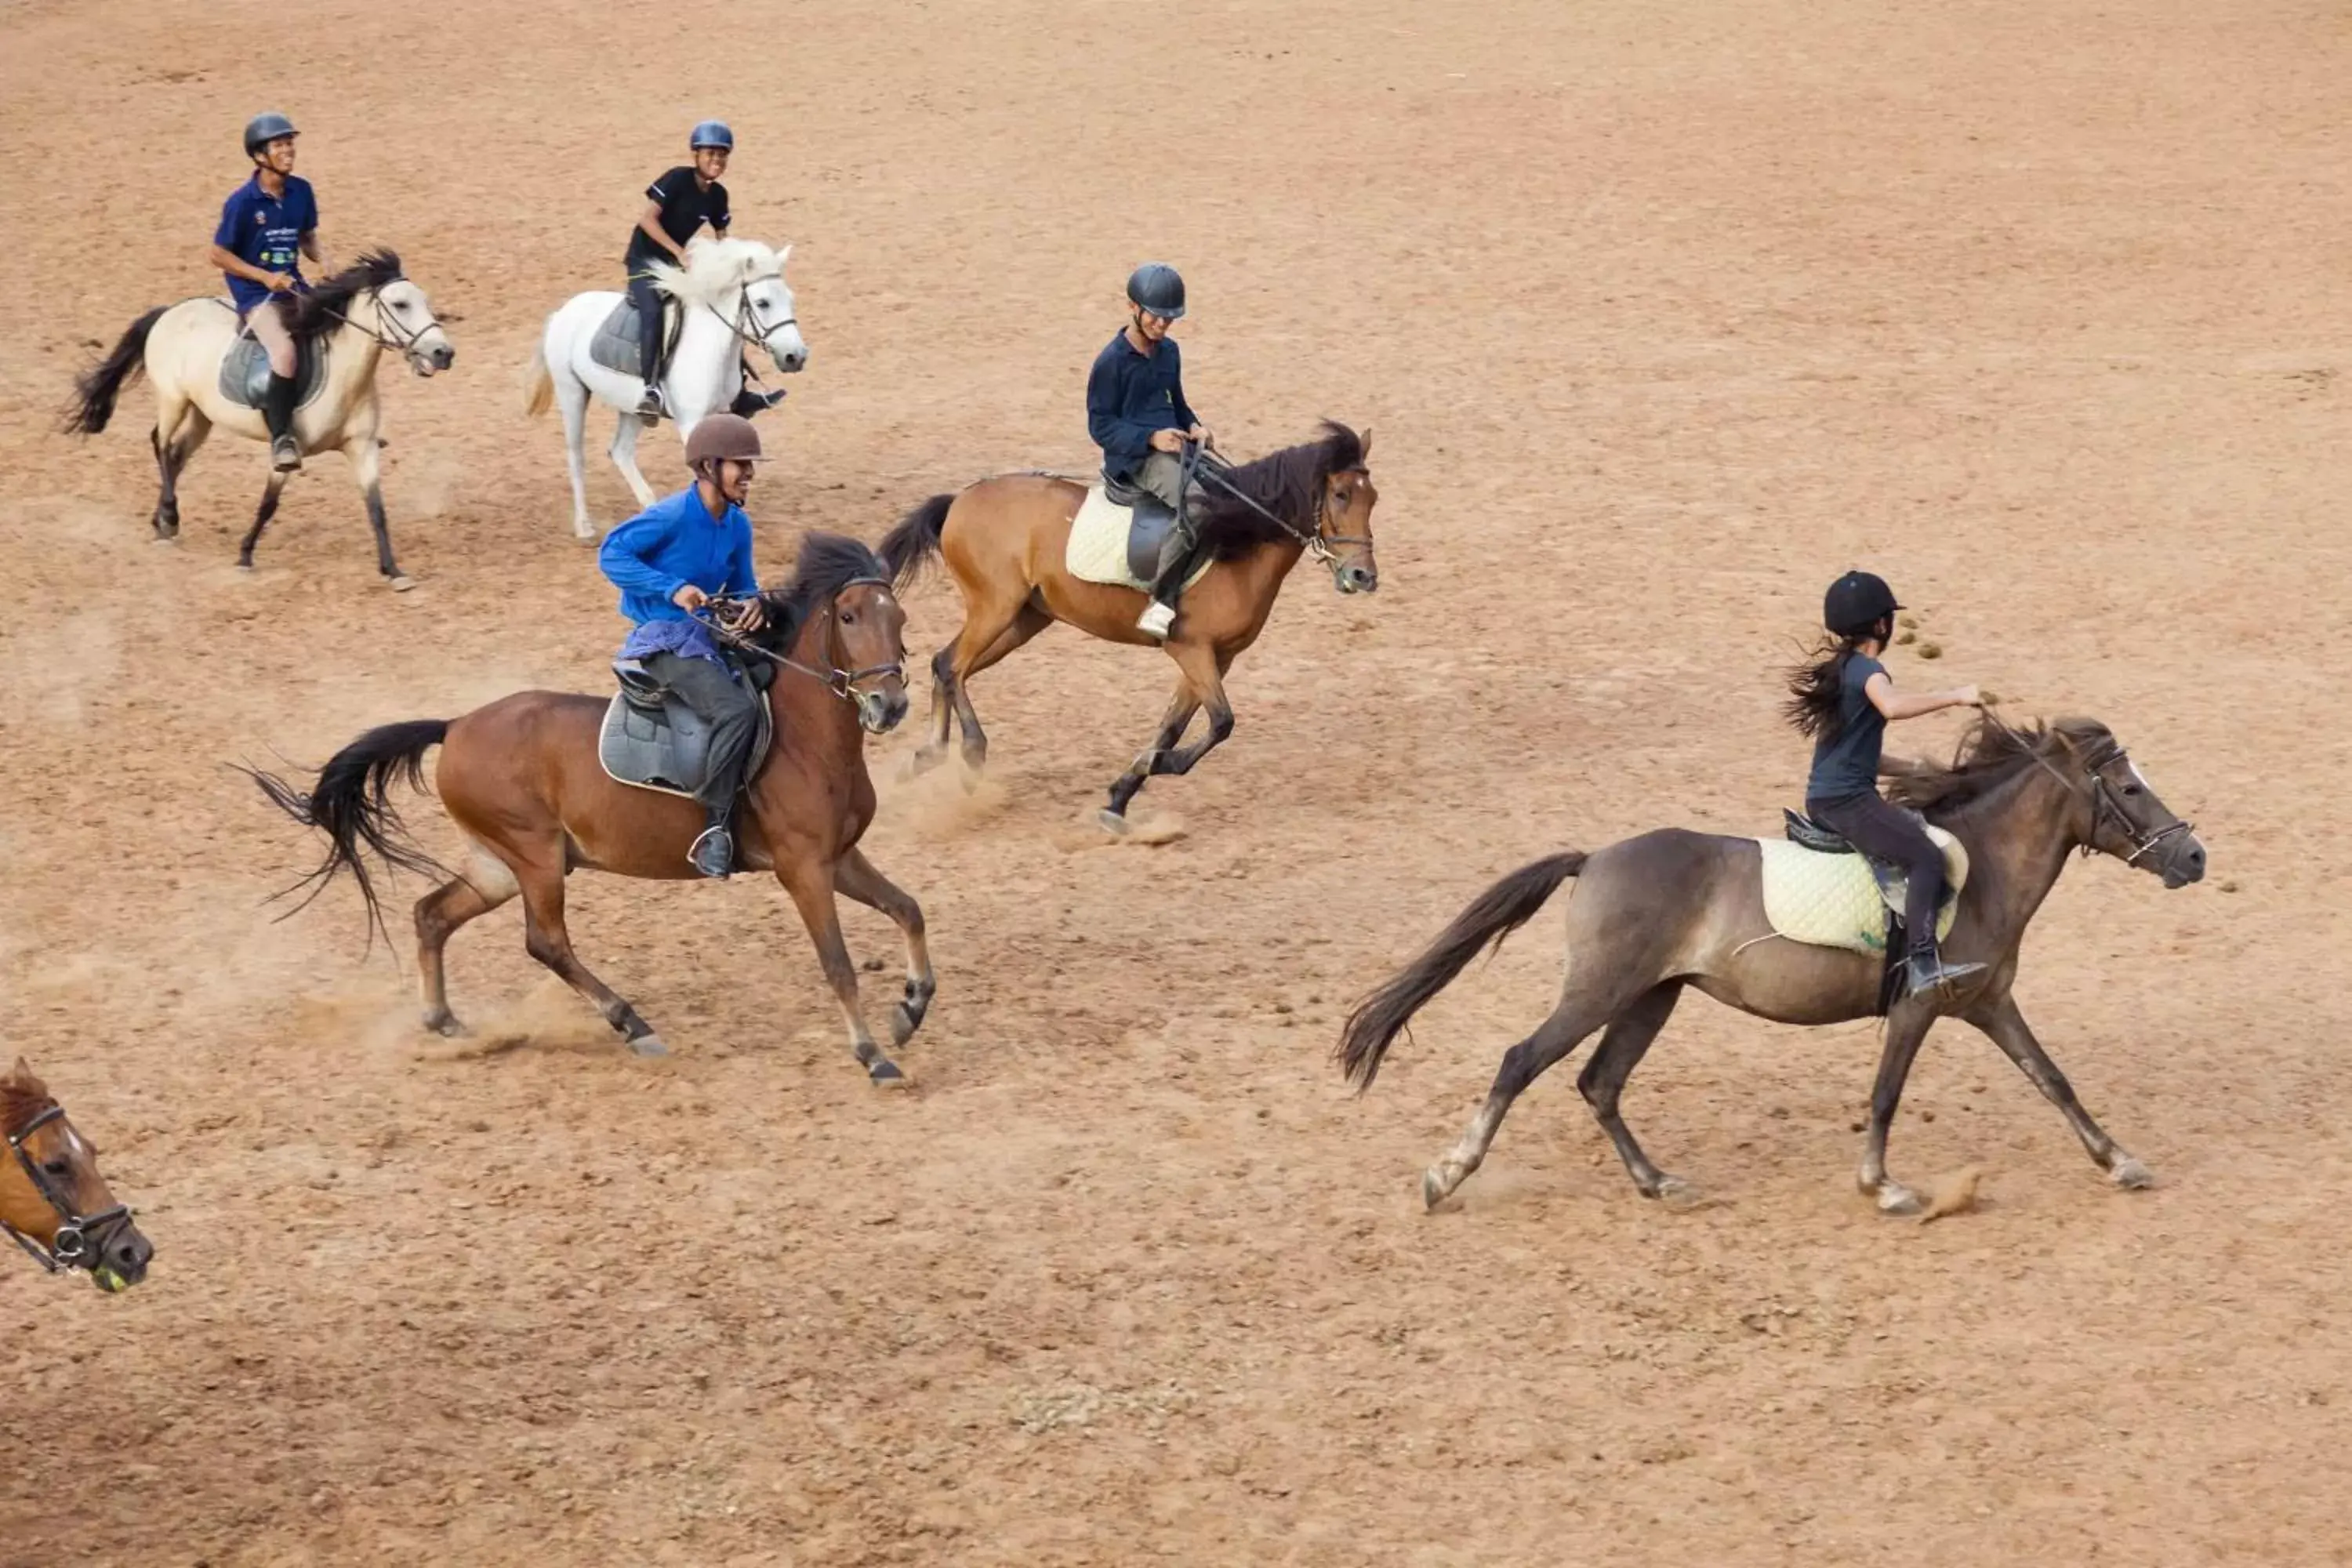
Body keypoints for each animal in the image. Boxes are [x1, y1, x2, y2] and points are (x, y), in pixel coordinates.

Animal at [63, 248, 454, 592]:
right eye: (400, 304)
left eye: (425, 301)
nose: (443, 353)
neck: (345, 376)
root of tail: (169, 311)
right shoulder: (286, 452)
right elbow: (268, 505)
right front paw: (245, 556)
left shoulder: (362, 447)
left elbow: (377, 509)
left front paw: (394, 571)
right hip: (173, 400)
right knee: (160, 443)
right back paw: (169, 518)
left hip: (203, 414)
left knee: (176, 455)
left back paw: (161, 521)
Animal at [245, 533, 927, 1086]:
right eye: (847, 616)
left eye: (900, 617)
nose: (889, 706)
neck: (805, 739)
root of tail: (456, 726)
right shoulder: (803, 869)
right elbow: (838, 964)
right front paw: (873, 1054)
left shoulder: (839, 858)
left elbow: (907, 909)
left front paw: (913, 1006)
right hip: (537, 858)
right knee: (546, 943)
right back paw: (632, 1024)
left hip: (498, 865)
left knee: (432, 915)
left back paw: (443, 1019)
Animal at [524, 236, 809, 543]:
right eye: (763, 303)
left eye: (790, 299)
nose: (796, 357)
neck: (710, 344)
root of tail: (563, 312)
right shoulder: (691, 422)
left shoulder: (722, 416)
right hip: (572, 393)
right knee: (577, 456)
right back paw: (584, 526)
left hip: (633, 409)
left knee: (621, 452)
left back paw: (651, 507)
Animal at [875, 416, 1374, 832]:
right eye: (1340, 495)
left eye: (1373, 499)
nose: (1363, 577)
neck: (1236, 541)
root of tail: (960, 499)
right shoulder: (1191, 649)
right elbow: (1221, 723)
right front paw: (1159, 765)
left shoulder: (1217, 658)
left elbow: (1175, 726)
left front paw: (1120, 796)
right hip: (995, 609)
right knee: (954, 667)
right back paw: (970, 754)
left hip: (1022, 621)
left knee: (945, 664)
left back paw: (928, 755)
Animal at [1345, 719, 2201, 1222]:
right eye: (2131, 787)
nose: (2195, 857)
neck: (1981, 868)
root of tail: (1596, 858)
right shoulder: (1919, 1008)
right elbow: (1886, 1094)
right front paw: (1882, 1185)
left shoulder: (1989, 1002)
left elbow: (2052, 1078)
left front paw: (2120, 1160)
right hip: (1601, 991)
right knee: (1522, 1061)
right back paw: (1447, 1174)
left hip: (1649, 998)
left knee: (1600, 1083)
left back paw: (1659, 1183)